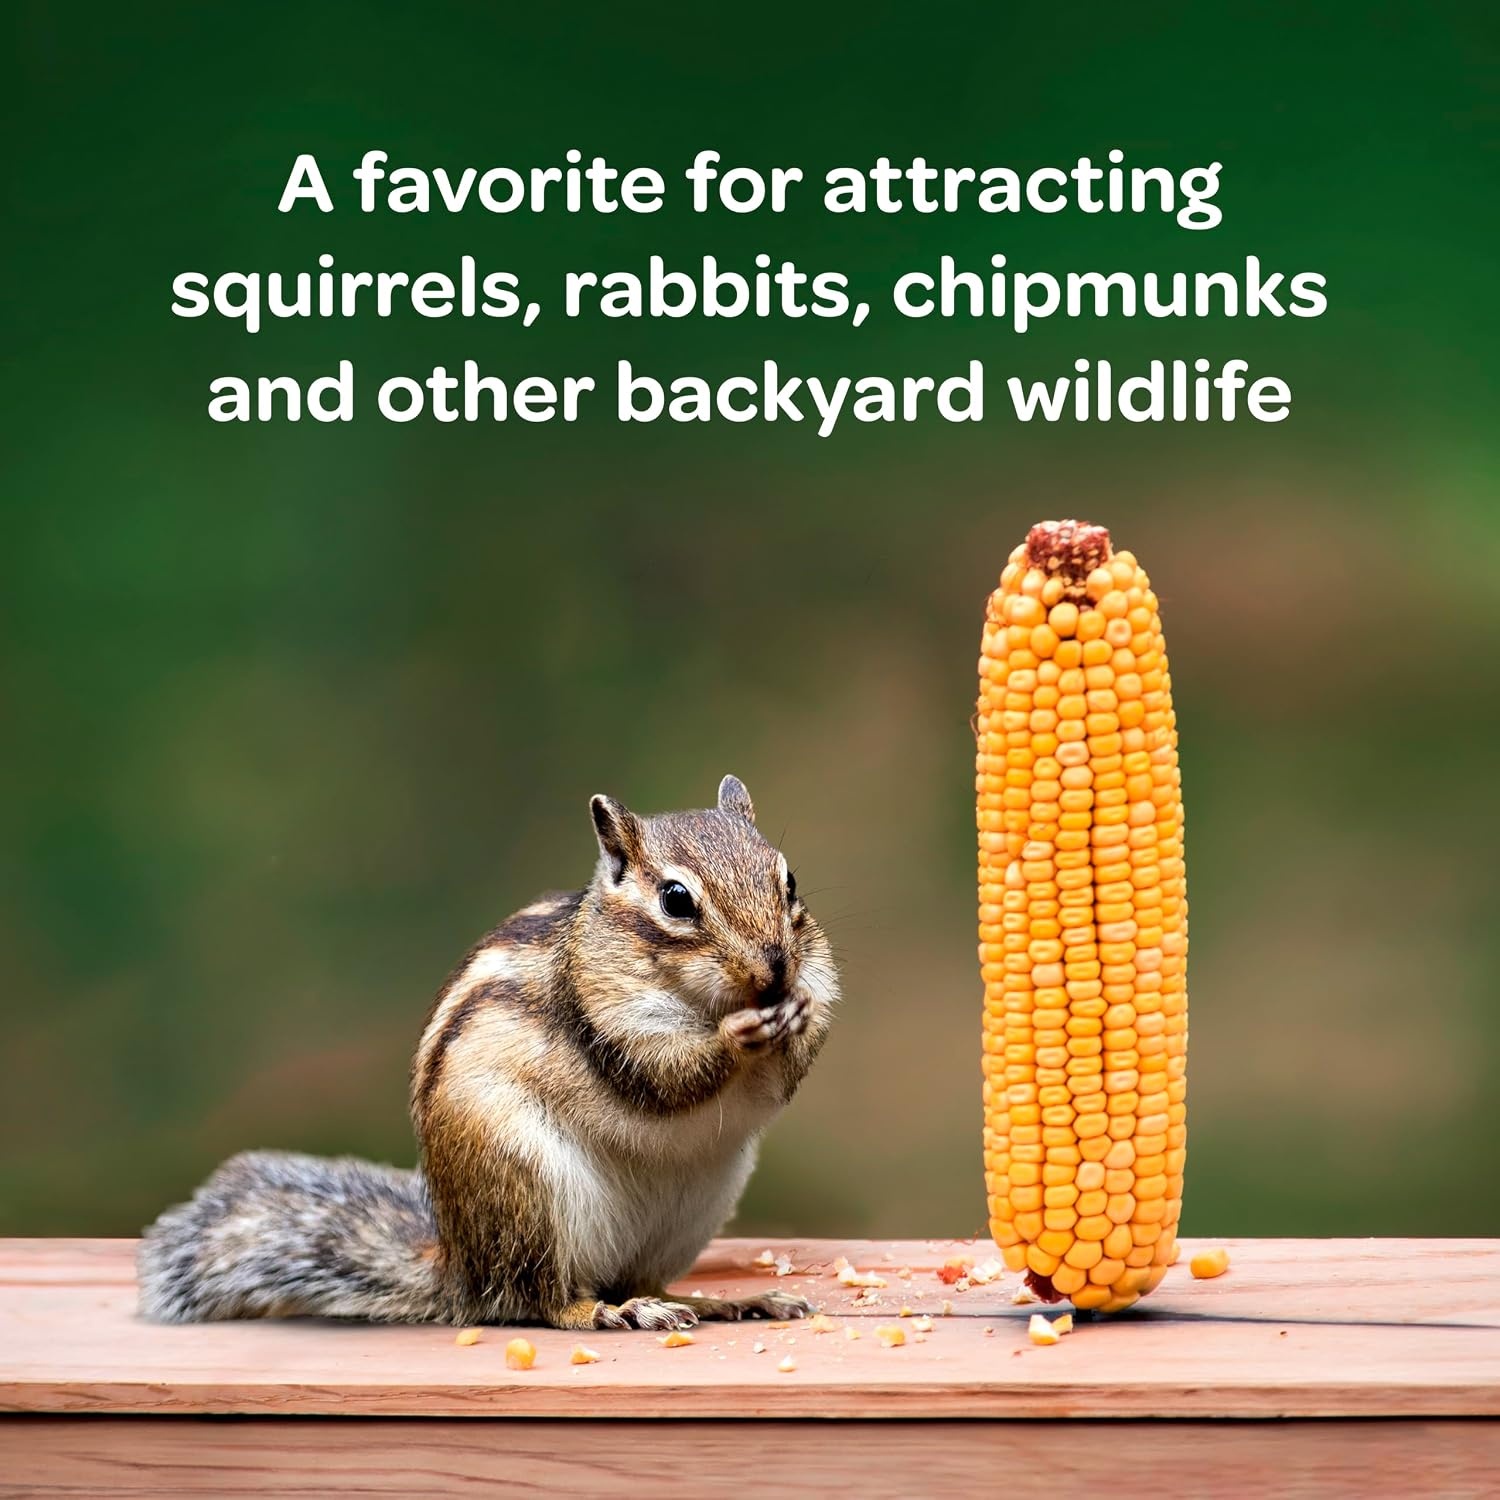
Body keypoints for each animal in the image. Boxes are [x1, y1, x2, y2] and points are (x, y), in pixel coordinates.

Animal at [137, 775, 837, 1331]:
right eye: (676, 900)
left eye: (790, 881)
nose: (776, 970)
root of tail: (462, 1267)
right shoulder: (607, 1018)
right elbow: (661, 1073)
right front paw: (737, 1034)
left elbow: (788, 1069)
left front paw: (800, 1017)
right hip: (525, 1190)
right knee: (541, 1299)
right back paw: (610, 1312)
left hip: (695, 1206)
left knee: (636, 1279)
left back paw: (719, 1302)